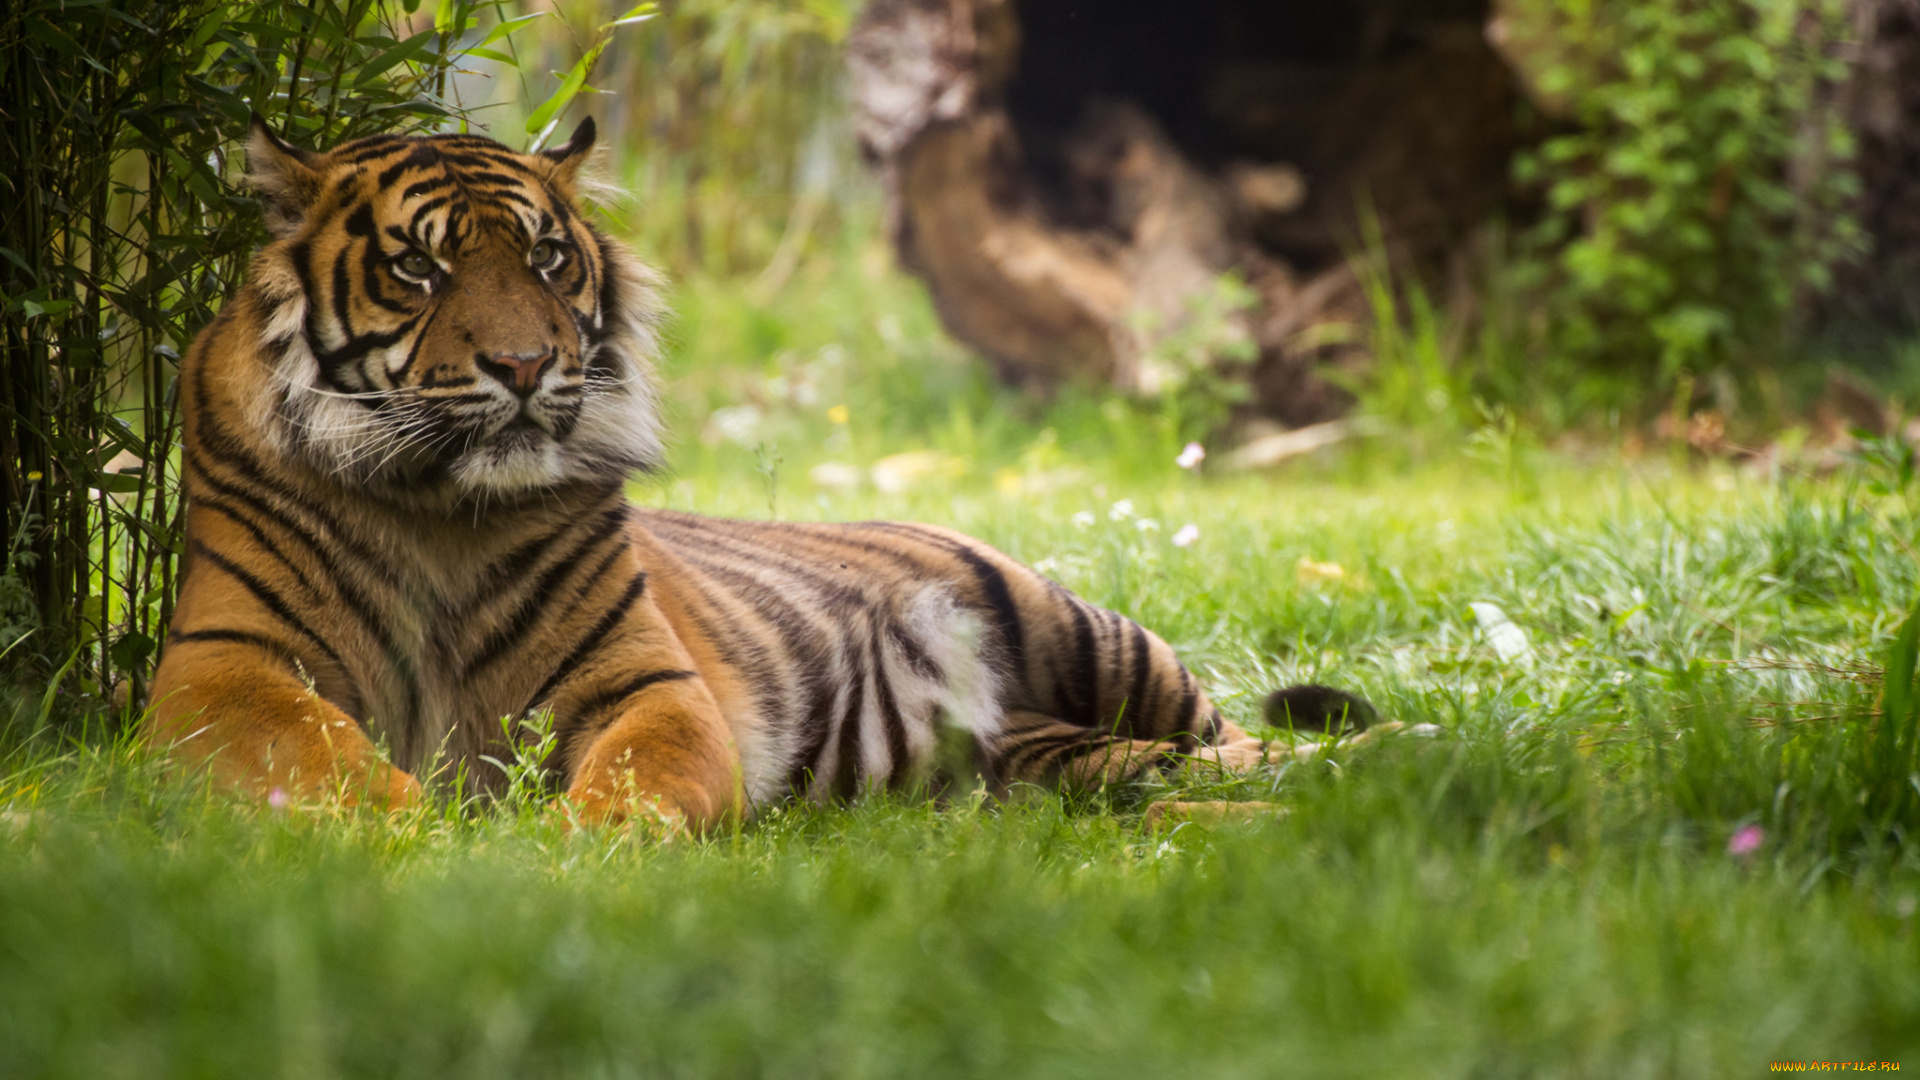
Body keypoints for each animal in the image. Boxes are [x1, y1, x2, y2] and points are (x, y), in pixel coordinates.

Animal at [148, 115, 1383, 829]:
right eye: (418, 268)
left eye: (546, 257)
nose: (525, 363)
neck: (440, 506)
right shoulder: (221, 669)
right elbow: (327, 762)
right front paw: (416, 831)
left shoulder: (642, 681)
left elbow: (634, 780)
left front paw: (569, 852)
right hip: (1050, 753)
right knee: (1169, 771)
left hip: (1082, 631)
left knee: (1247, 741)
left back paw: (1393, 761)